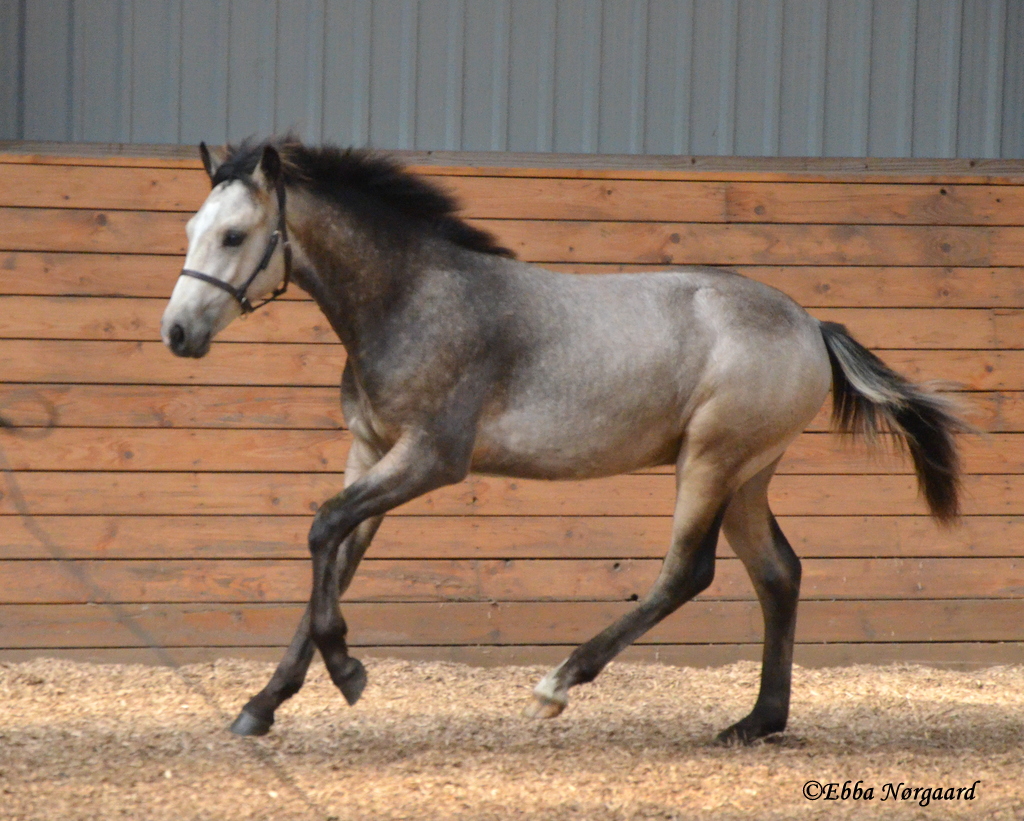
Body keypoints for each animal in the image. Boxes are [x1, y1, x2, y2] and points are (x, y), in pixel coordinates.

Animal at [159, 136, 966, 741]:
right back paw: (757, 722)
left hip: (712, 460)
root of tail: (811, 326)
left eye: (234, 235)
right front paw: (262, 705)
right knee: (779, 573)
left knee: (688, 572)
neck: (413, 299)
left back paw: (557, 684)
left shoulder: (430, 458)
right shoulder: (371, 451)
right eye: (191, 232)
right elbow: (335, 554)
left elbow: (323, 528)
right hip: (748, 475)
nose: (177, 334)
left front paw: (349, 673)